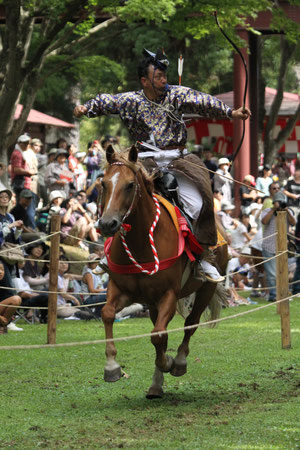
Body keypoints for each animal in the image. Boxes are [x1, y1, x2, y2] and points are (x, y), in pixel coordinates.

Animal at [98, 145, 227, 398]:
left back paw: (178, 362)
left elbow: (158, 335)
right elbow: (108, 313)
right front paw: (111, 367)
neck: (141, 242)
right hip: (152, 303)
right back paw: (156, 384)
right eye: (104, 183)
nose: (108, 224)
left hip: (207, 288)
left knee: (190, 323)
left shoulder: (168, 293)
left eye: (130, 185)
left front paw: (168, 362)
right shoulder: (122, 290)